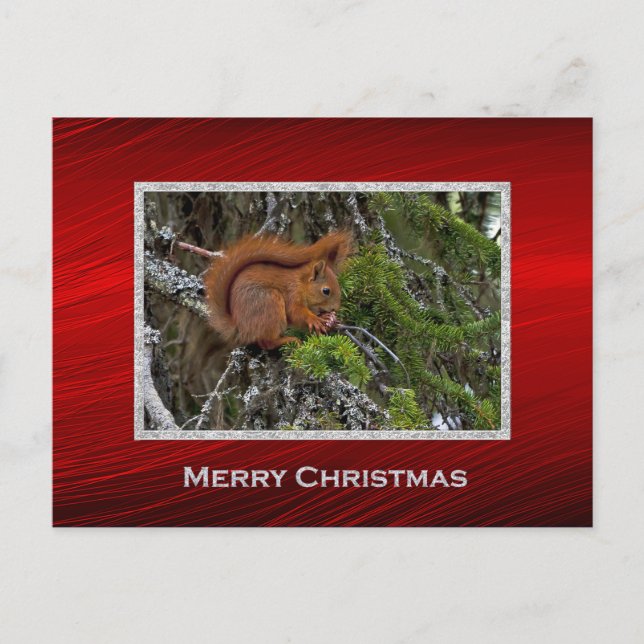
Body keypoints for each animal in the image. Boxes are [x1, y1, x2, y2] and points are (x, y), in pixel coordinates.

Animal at [205, 231, 353, 350]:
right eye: (326, 291)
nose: (335, 308)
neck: (301, 282)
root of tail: (240, 327)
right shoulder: (292, 293)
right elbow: (296, 313)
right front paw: (314, 319)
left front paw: (326, 317)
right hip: (270, 303)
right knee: (267, 343)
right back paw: (288, 340)